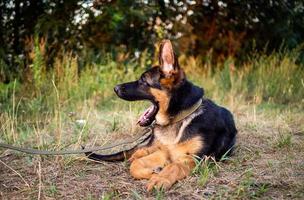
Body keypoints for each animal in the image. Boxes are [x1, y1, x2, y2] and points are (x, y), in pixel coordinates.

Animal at [86, 39, 238, 191]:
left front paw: (161, 178)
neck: (179, 118)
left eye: (143, 80)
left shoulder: (193, 158)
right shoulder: (163, 153)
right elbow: (135, 165)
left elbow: (174, 166)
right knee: (139, 151)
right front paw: (153, 173)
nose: (115, 88)